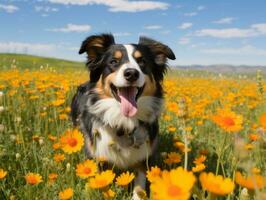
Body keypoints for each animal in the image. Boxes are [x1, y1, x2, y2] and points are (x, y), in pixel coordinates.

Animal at [69, 33, 176, 199]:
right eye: (114, 62)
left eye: (142, 62)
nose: (131, 73)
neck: (123, 121)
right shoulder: (97, 156)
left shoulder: (143, 157)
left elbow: (139, 187)